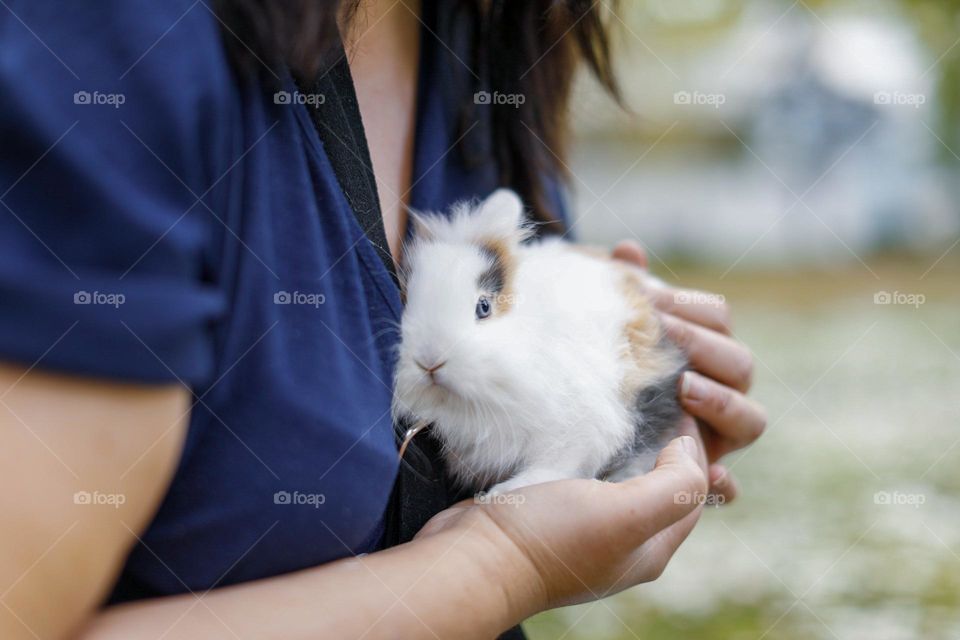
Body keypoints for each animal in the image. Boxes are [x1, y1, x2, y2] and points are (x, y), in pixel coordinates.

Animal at [392, 189, 687, 494]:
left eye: (483, 307)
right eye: (405, 300)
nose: (429, 362)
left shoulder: (582, 428)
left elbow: (555, 466)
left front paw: (502, 492)